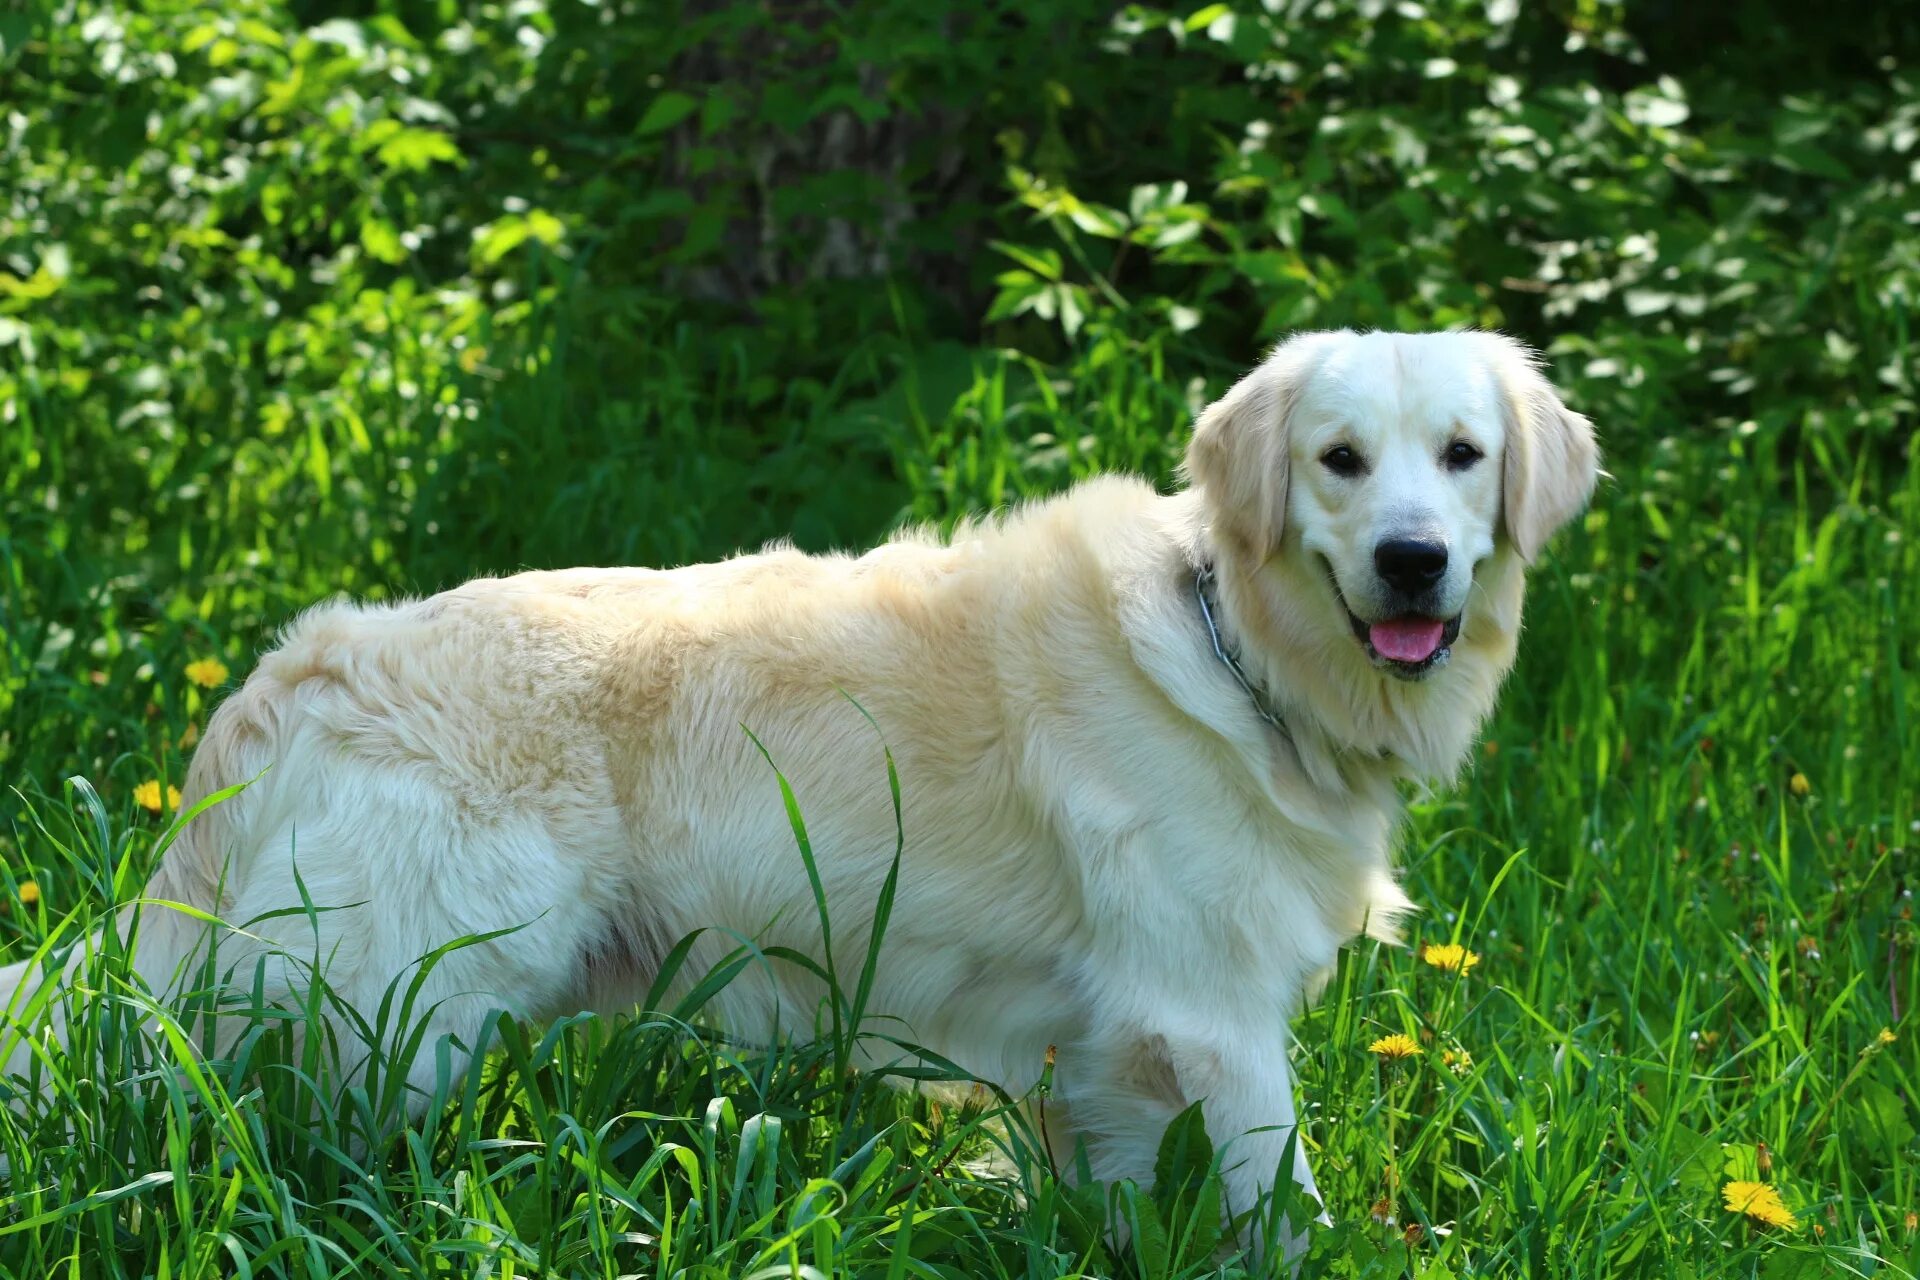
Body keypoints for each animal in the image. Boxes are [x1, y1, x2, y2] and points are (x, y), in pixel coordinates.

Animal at [0, 328, 1597, 1258]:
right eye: (1340, 462)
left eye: (1463, 458)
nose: (1412, 560)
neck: (1238, 648)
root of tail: (304, 665)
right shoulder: (1205, 1017)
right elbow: (1288, 1210)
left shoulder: (1092, 1057)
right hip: (389, 1008)